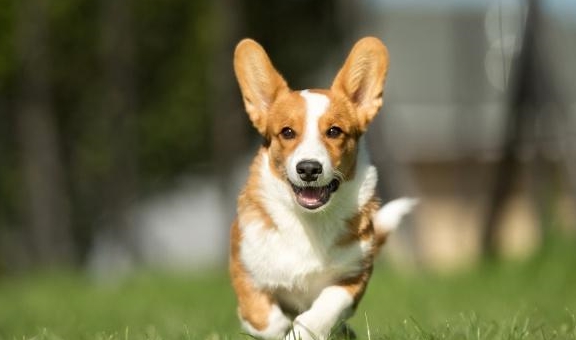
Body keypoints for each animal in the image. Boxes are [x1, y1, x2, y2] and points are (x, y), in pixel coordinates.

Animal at [228, 37, 414, 340]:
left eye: (334, 131)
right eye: (287, 132)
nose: (308, 169)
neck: (309, 222)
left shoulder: (353, 277)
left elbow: (324, 309)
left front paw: (301, 332)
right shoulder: (246, 271)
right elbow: (265, 318)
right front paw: (280, 329)